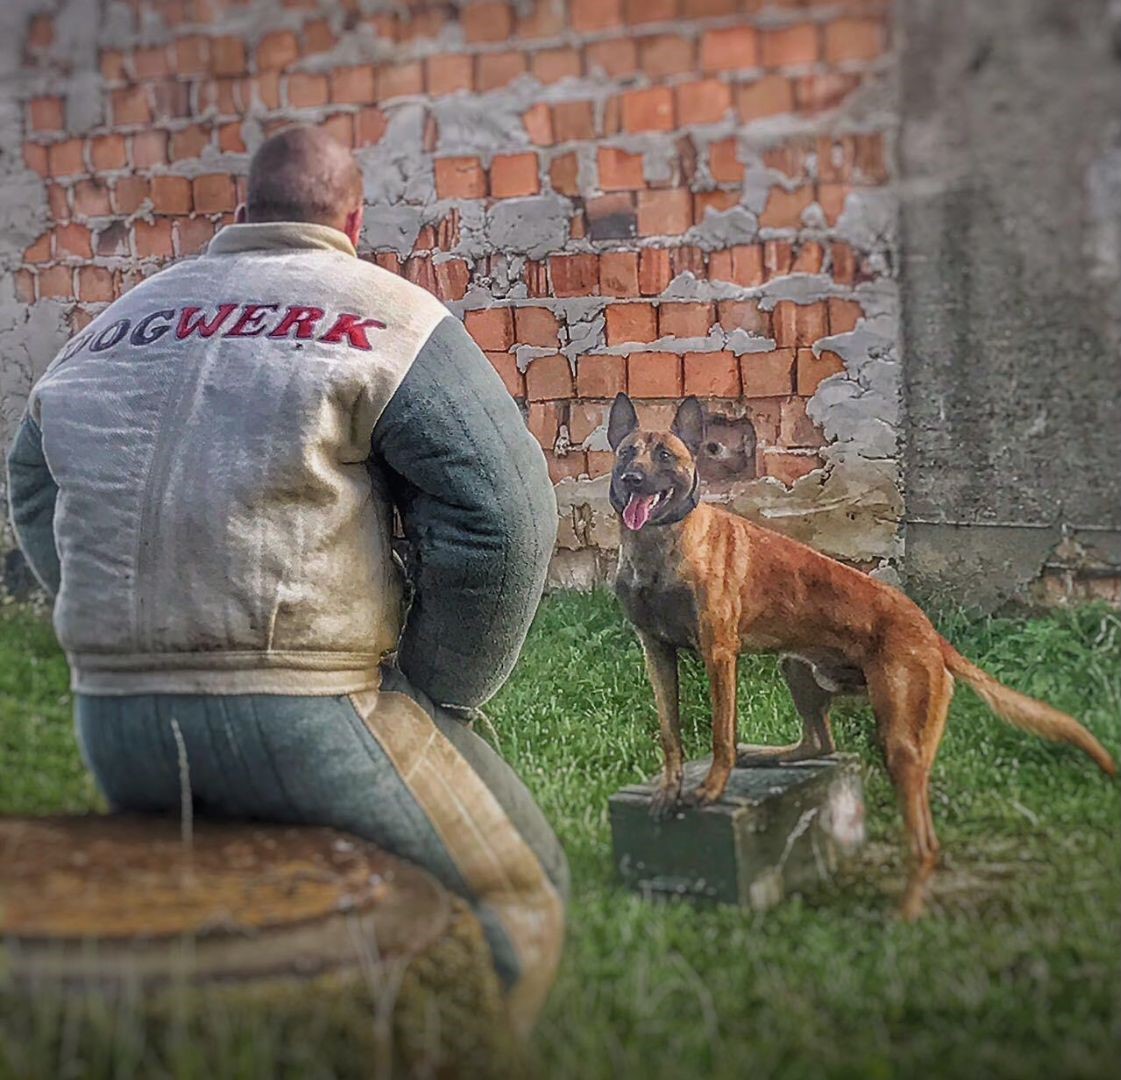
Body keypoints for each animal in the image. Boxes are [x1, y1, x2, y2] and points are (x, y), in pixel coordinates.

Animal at [609, 392, 1116, 915]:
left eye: (665, 456)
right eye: (626, 453)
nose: (631, 480)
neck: (660, 547)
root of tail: (929, 633)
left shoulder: (719, 654)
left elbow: (720, 736)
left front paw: (711, 787)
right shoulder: (655, 651)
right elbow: (670, 733)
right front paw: (670, 789)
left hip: (901, 741)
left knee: (925, 845)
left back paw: (906, 914)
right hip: (798, 667)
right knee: (821, 743)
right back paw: (766, 755)